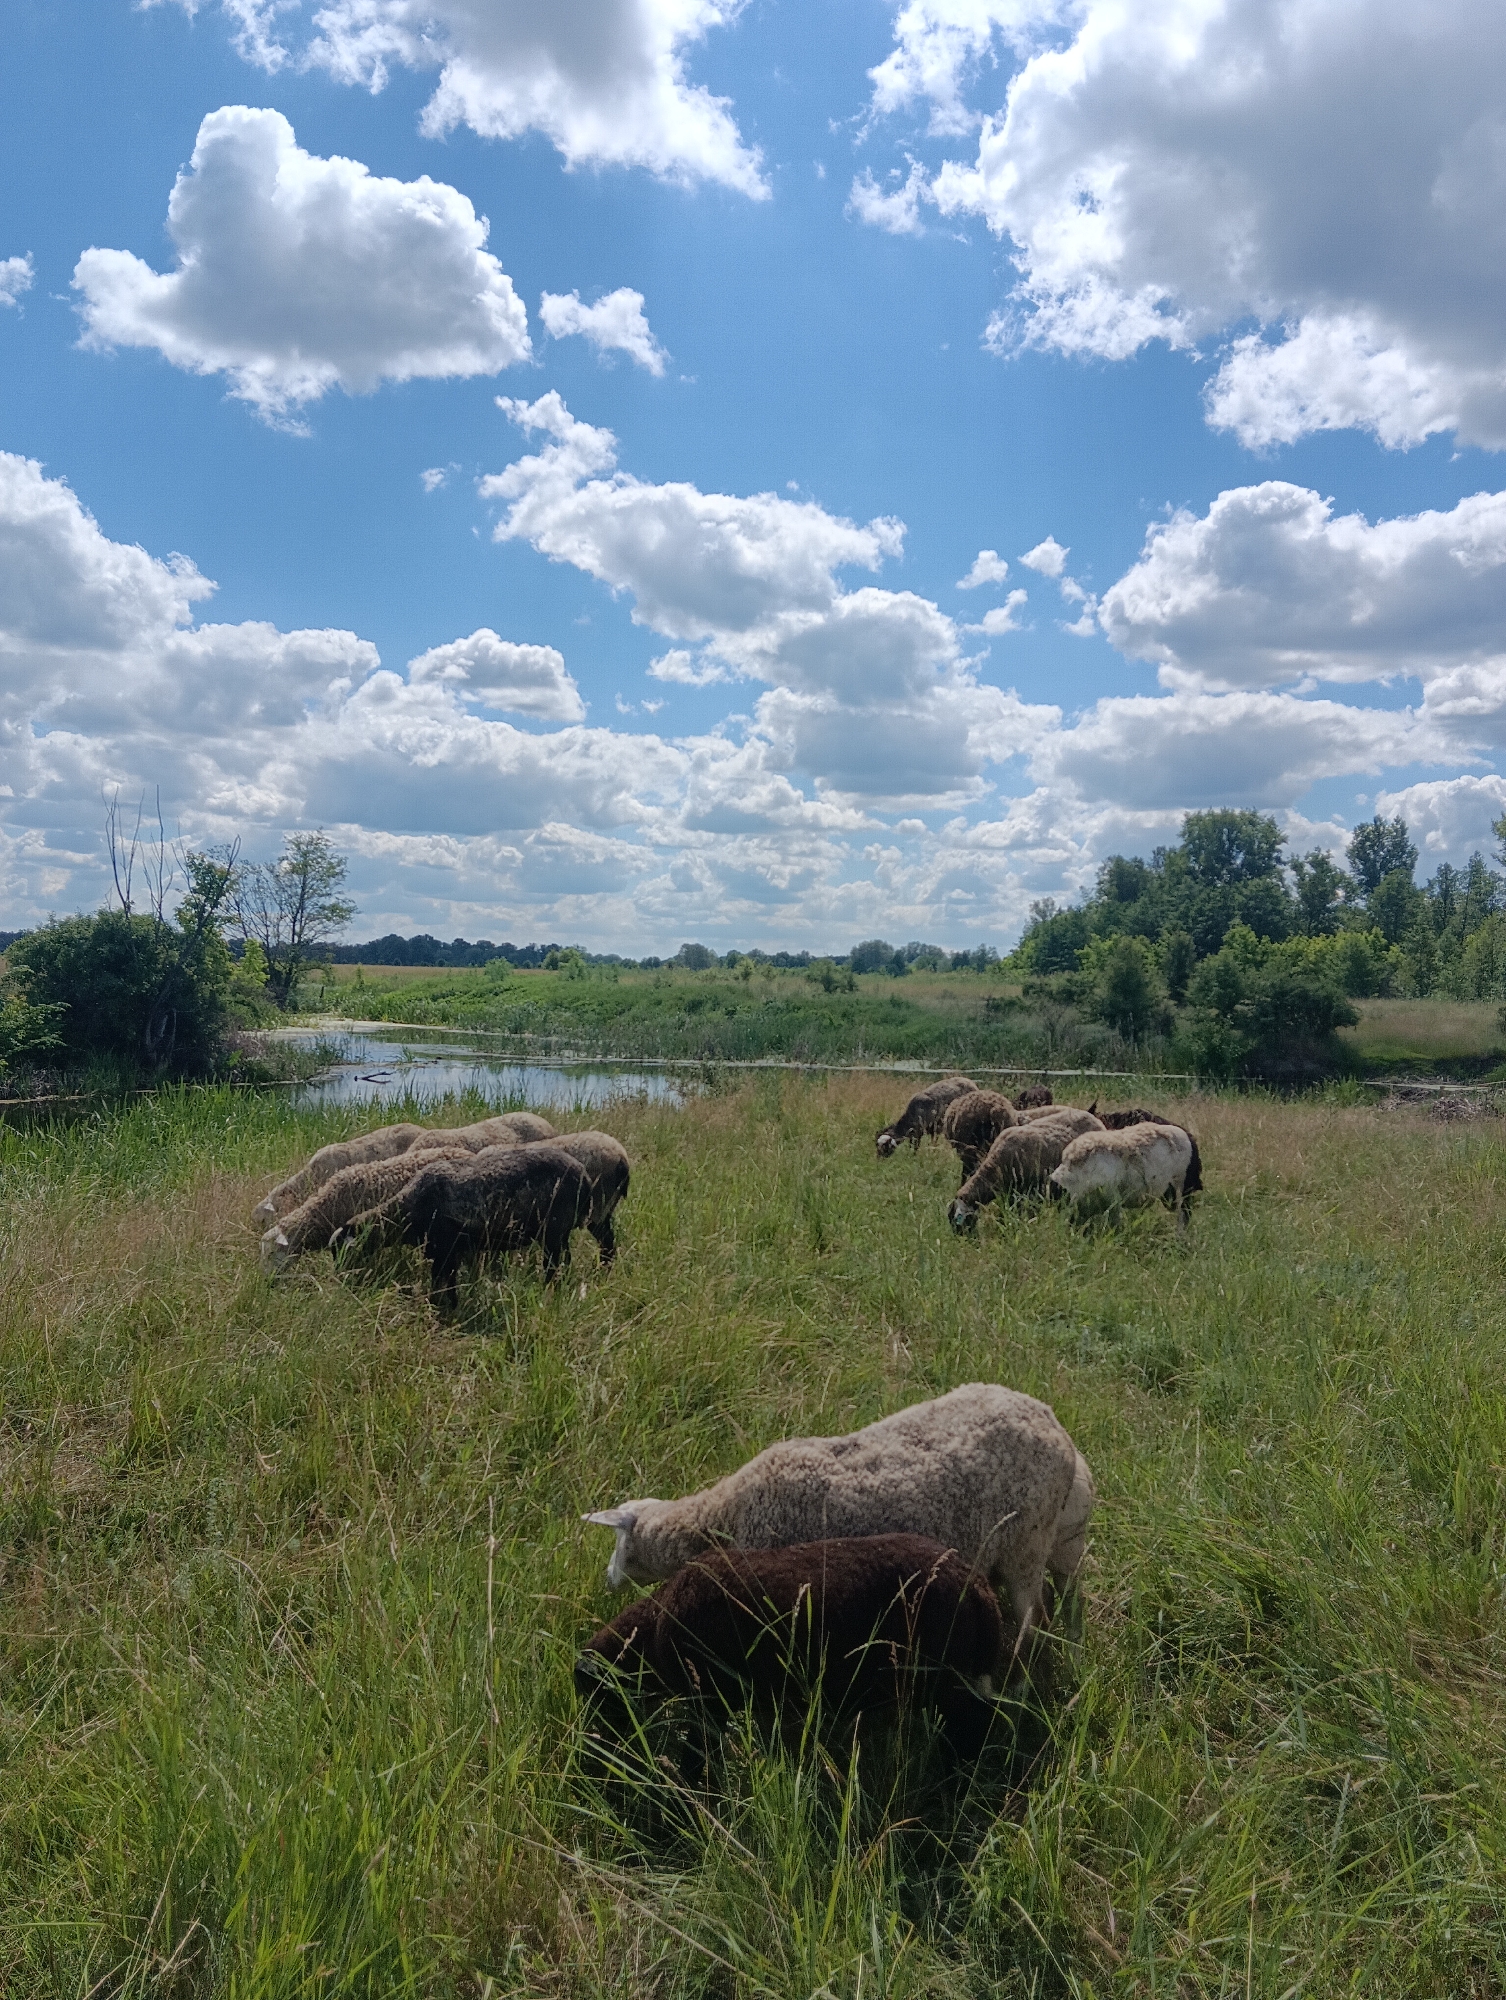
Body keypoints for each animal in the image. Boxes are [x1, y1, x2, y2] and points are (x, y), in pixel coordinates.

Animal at [328, 1142, 593, 1307]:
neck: (408, 1210)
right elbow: (449, 1283)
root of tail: (584, 1175)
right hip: (560, 1234)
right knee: (565, 1262)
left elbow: (440, 1282)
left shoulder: (443, 1249)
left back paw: (549, 1292)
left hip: (553, 1232)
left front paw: (439, 1307)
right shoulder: (448, 1252)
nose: (340, 1280)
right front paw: (452, 1306)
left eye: (341, 1251)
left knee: (553, 1267)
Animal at [575, 1534, 1004, 1757]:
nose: (593, 1748)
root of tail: (978, 1589)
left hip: (942, 1678)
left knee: (976, 1725)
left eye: (595, 1697)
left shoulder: (710, 1701)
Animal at [584, 1381, 1093, 1658]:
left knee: (1035, 1617)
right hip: (1052, 1540)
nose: (606, 1581)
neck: (722, 1517)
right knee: (1067, 1593)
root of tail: (1051, 1419)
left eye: (618, 1543)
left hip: (1026, 1544)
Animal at [947, 1109, 1105, 1232]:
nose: (963, 1239)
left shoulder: (1030, 1191)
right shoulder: (1010, 1193)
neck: (995, 1166)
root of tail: (1094, 1118)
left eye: (959, 1222)